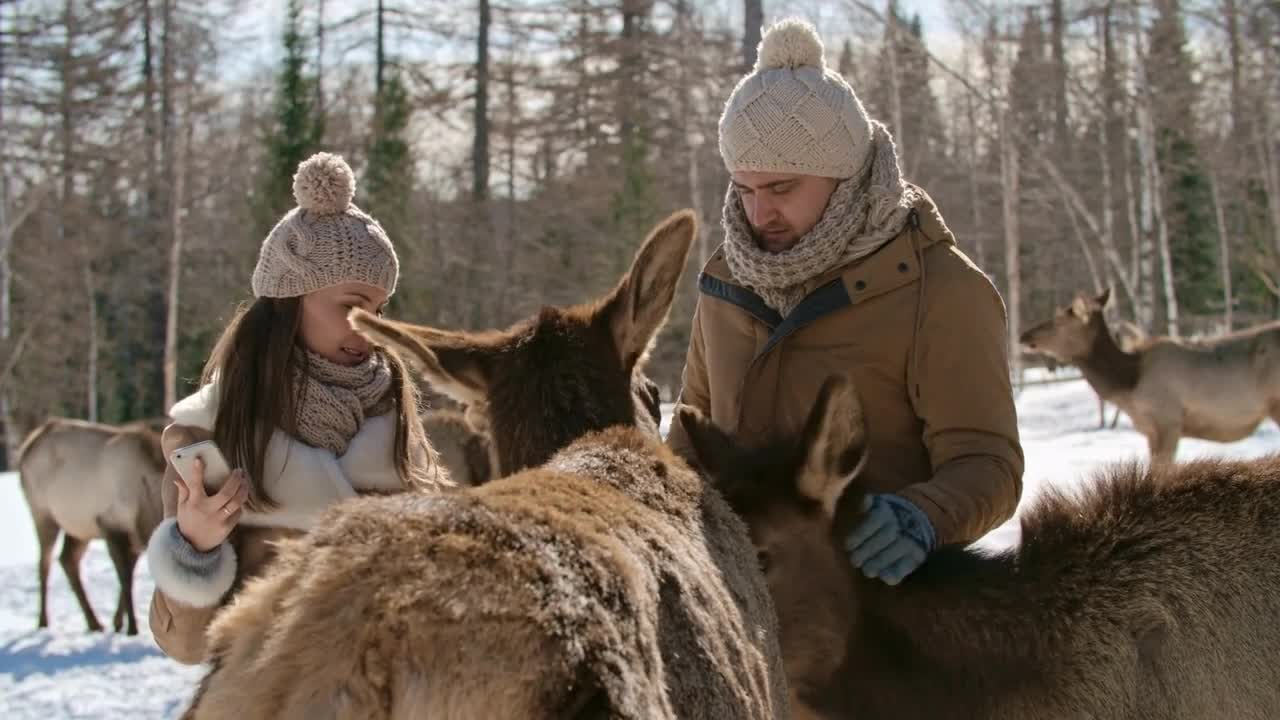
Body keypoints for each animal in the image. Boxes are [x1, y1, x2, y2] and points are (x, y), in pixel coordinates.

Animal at [19, 415, 167, 632]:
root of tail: (27, 446)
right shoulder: (109, 523)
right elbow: (125, 577)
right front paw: (132, 628)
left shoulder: (136, 537)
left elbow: (129, 573)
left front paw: (118, 622)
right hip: (43, 514)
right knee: (44, 564)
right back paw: (43, 621)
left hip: (79, 526)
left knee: (67, 560)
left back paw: (94, 622)